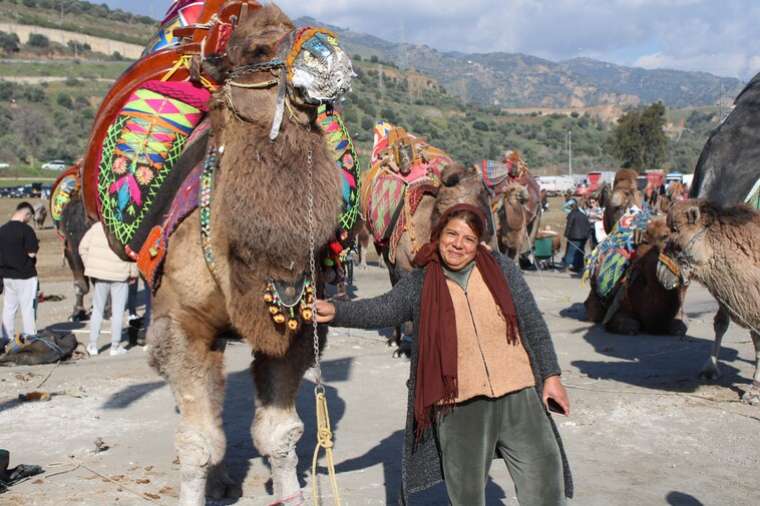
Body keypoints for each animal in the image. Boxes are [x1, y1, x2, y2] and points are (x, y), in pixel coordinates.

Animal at [77, 2, 360, 502]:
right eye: (258, 48)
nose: (330, 54)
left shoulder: (296, 328)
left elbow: (279, 433)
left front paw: (288, 491)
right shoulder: (182, 324)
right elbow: (197, 443)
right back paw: (222, 481)